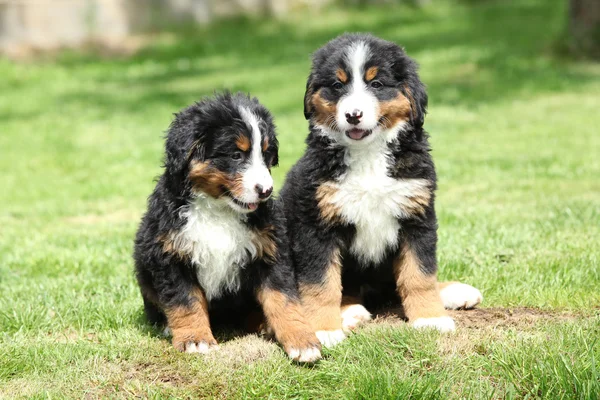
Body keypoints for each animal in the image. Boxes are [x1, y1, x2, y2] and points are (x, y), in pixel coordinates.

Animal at [134, 91, 322, 362]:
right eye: (236, 155)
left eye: (266, 155)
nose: (266, 191)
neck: (219, 209)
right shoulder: (170, 255)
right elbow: (185, 301)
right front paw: (195, 339)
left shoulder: (269, 252)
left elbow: (283, 299)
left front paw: (301, 339)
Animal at [280, 34, 482, 346]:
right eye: (337, 85)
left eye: (376, 84)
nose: (353, 115)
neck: (368, 154)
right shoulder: (316, 227)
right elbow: (320, 283)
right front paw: (323, 329)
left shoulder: (417, 217)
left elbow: (420, 275)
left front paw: (430, 318)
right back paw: (350, 313)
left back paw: (453, 291)